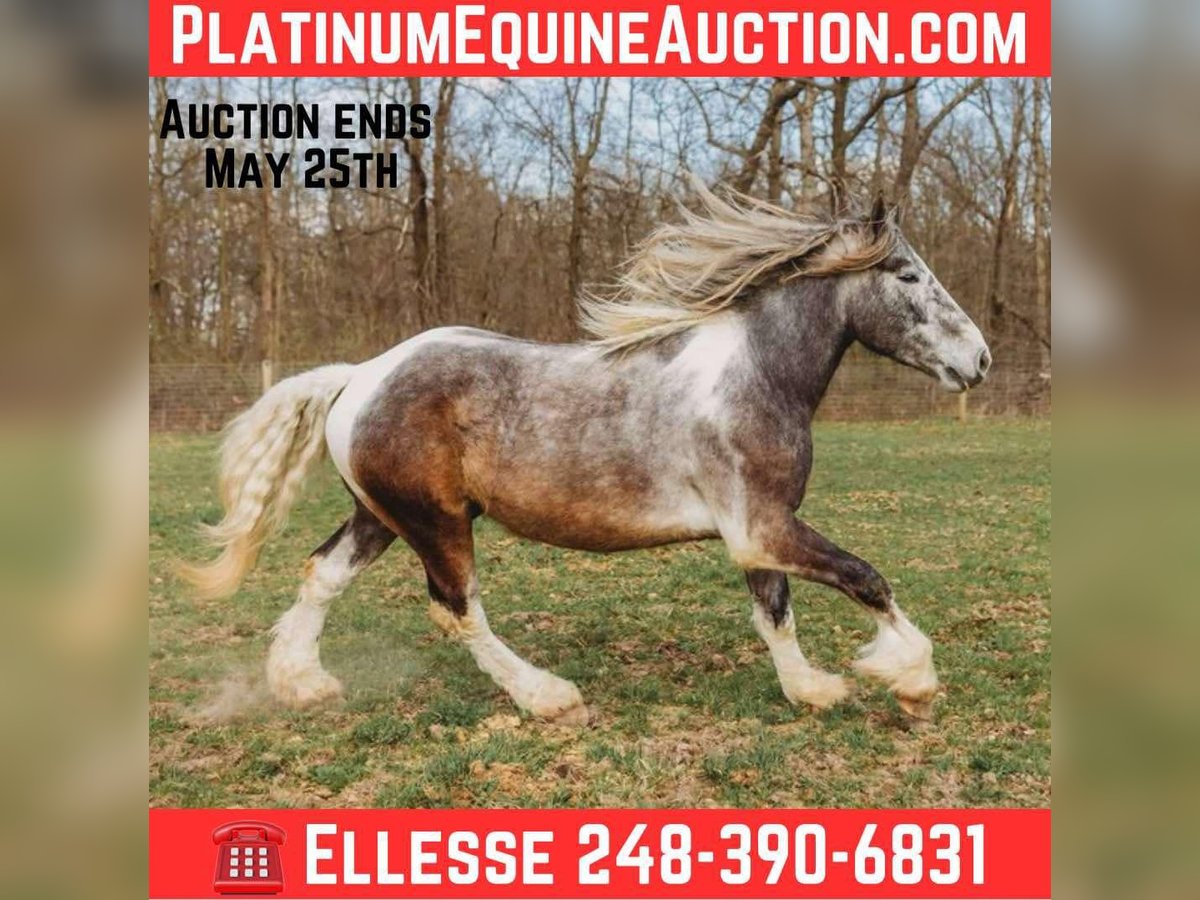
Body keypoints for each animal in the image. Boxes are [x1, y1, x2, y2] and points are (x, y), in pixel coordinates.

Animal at [181, 185, 990, 724]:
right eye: (909, 276)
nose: (978, 360)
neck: (756, 374)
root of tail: (359, 376)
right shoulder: (764, 527)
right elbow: (866, 578)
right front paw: (912, 680)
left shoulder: (756, 530)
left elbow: (775, 613)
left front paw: (813, 689)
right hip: (438, 524)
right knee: (457, 608)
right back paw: (550, 698)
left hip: (381, 516)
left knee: (322, 574)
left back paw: (303, 684)